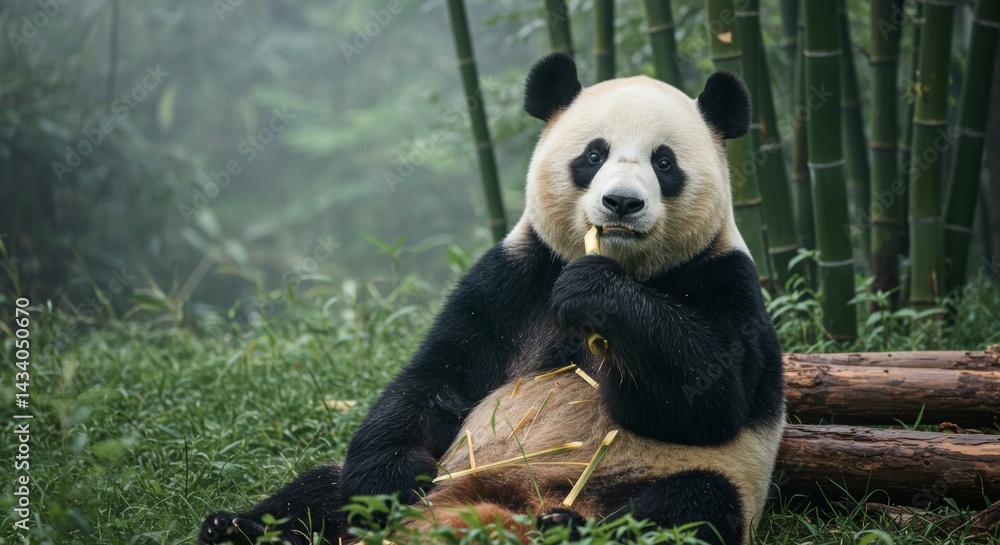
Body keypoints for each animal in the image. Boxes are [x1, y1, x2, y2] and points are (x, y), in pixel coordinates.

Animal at [198, 53, 785, 545]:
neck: (631, 267)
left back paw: (568, 527)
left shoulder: (728, 283)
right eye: (593, 155)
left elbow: (708, 395)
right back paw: (235, 528)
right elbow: (437, 377)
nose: (621, 203)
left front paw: (597, 295)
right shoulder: (514, 278)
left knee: (687, 506)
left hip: (658, 481)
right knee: (319, 490)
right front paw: (389, 477)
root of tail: (498, 512)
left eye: (664, 163)